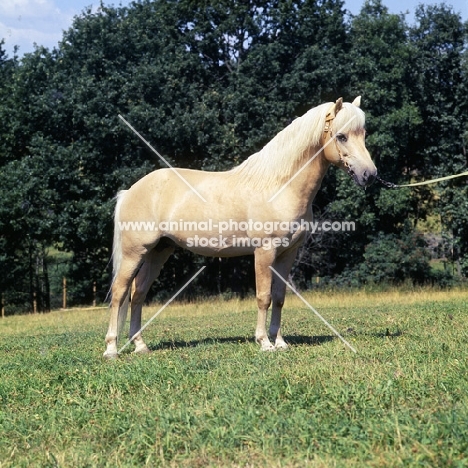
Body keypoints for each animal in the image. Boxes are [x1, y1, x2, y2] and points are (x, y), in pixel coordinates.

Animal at [104, 97, 378, 356]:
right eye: (341, 136)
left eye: (363, 134)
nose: (370, 175)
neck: (279, 186)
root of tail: (130, 191)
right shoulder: (264, 251)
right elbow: (263, 297)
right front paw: (264, 343)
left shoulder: (288, 253)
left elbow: (279, 298)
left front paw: (280, 342)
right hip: (134, 253)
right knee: (119, 293)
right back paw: (111, 349)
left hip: (158, 251)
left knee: (138, 295)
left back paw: (140, 346)